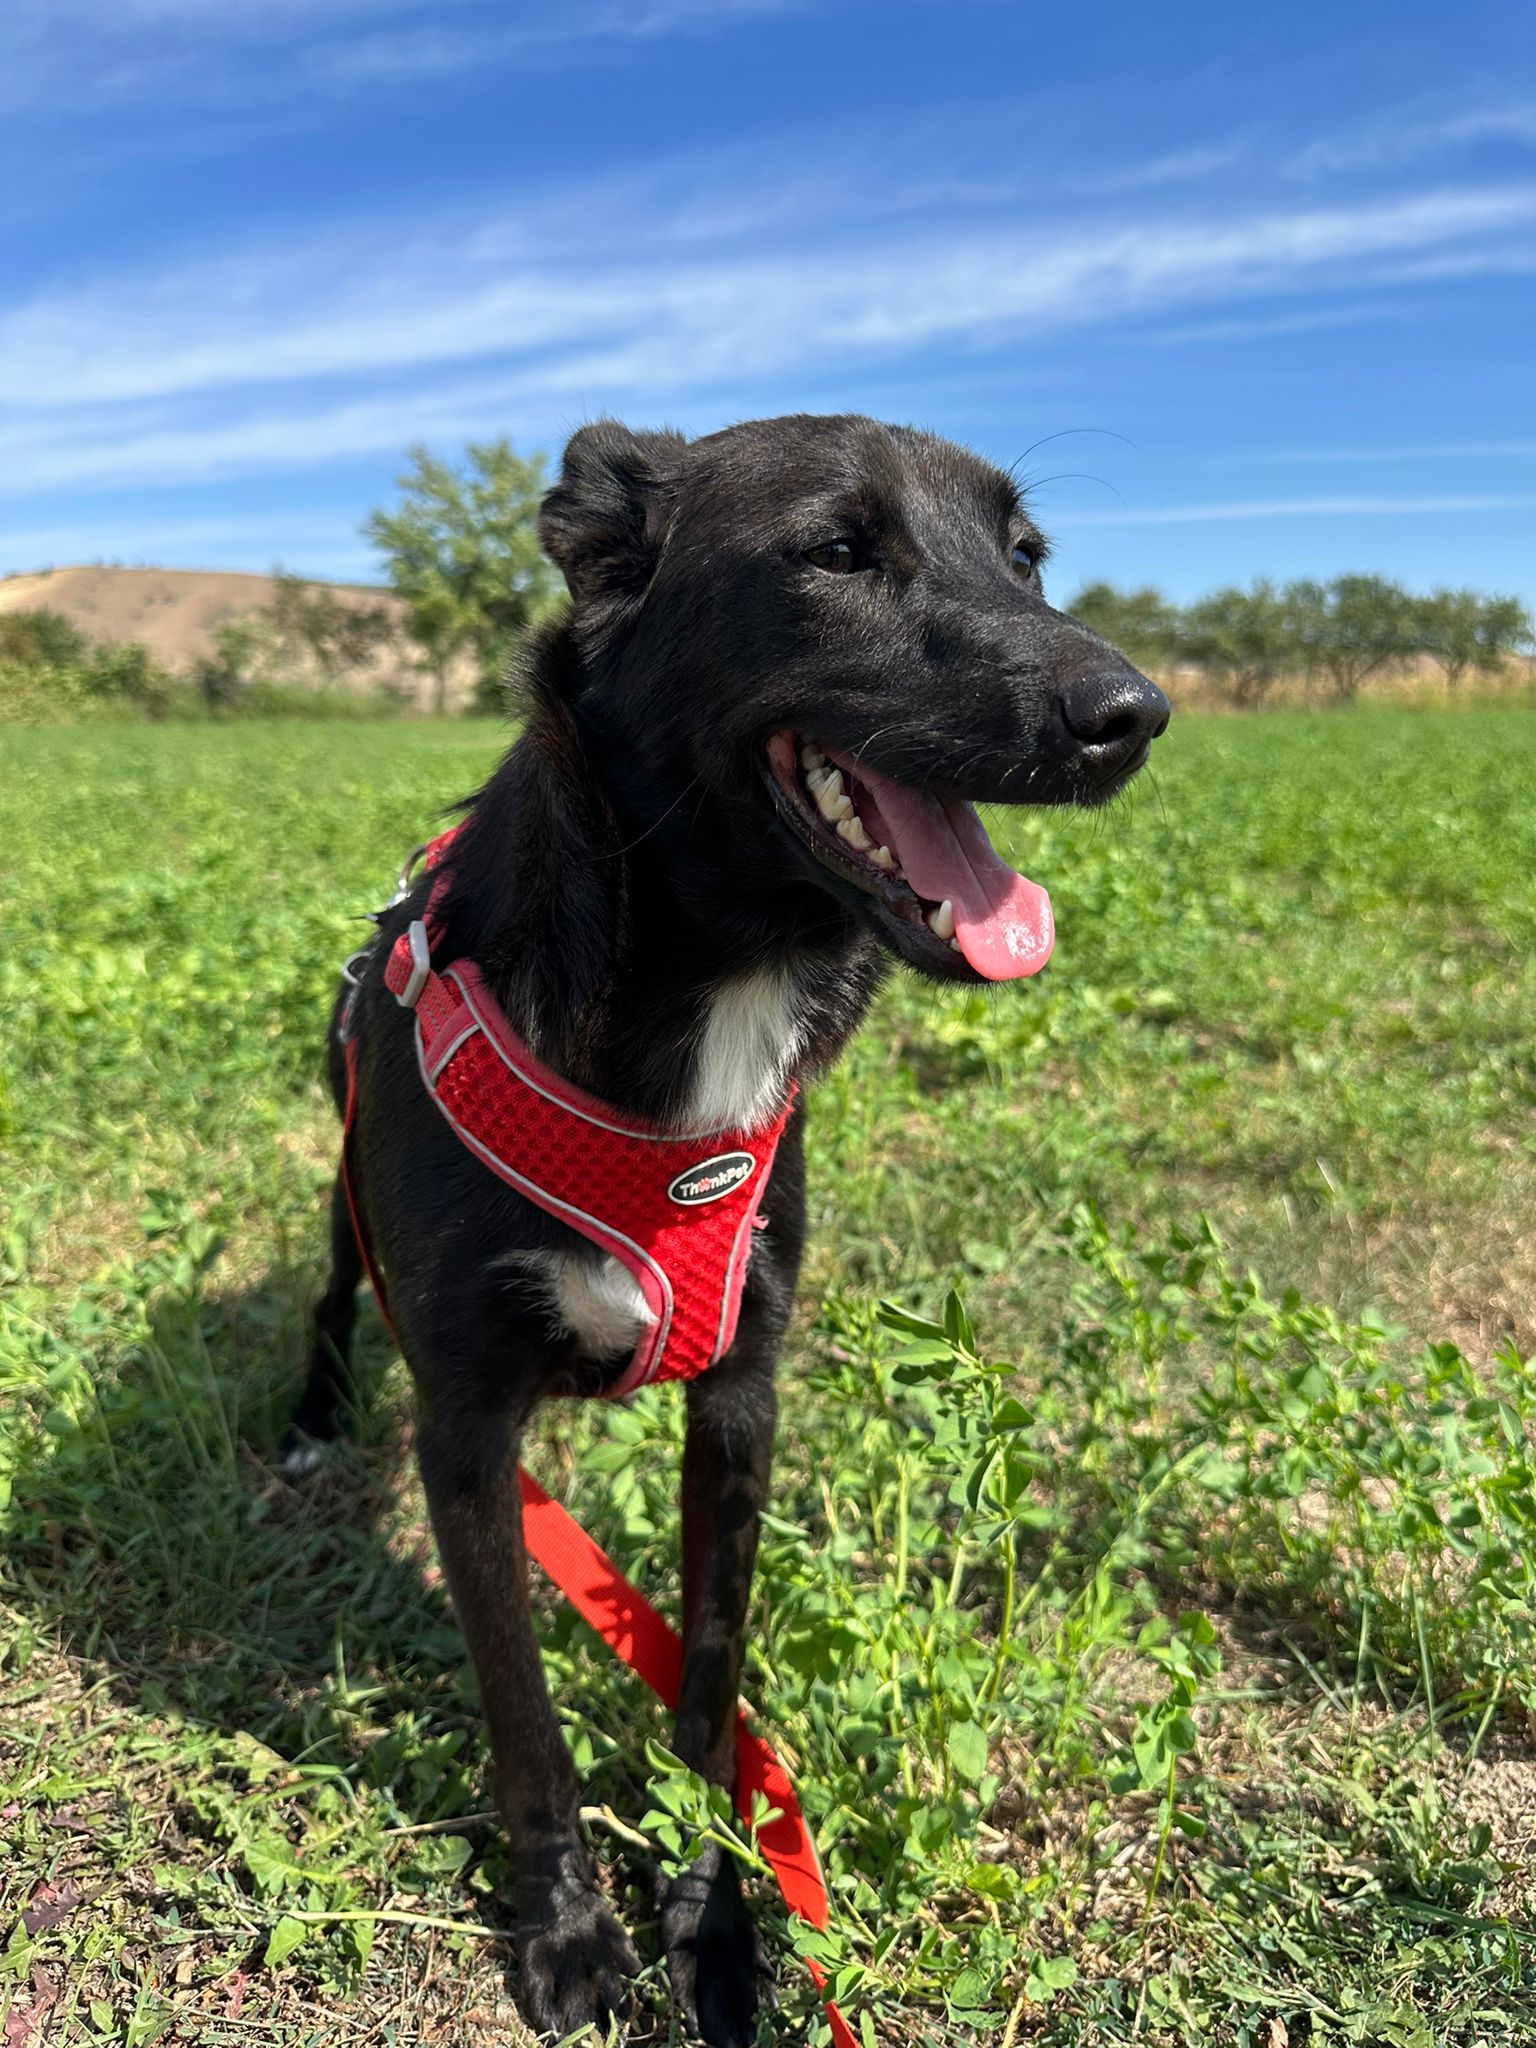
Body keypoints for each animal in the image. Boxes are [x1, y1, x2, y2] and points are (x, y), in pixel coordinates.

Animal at [281, 412, 1169, 2045]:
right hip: (340, 1196)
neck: (713, 989)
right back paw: (310, 1420)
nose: (1133, 714)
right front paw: (567, 1926)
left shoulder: (741, 1398)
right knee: (324, 1296)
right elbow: (525, 1720)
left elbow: (706, 1684)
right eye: (836, 551)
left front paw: (714, 1912)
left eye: (1026, 558)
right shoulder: (464, 1434)